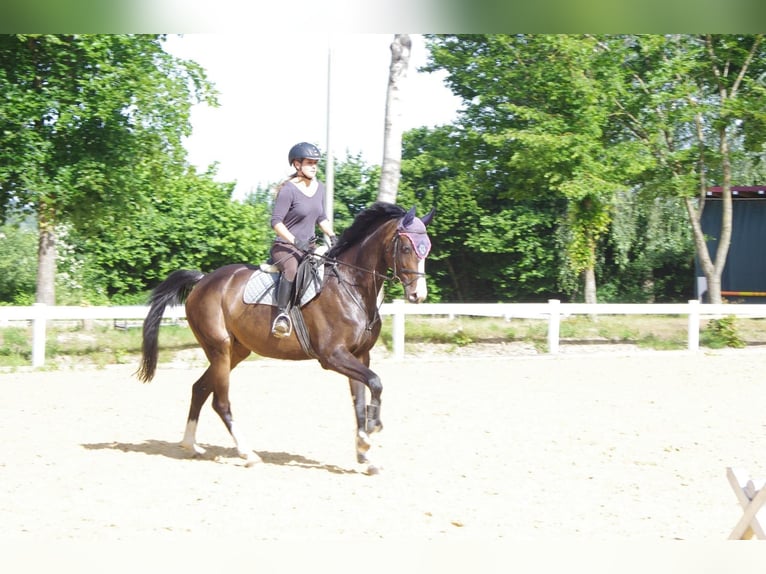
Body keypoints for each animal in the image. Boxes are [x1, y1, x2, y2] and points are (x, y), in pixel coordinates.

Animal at [139, 202, 436, 472]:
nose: (418, 295)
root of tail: (203, 281)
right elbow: (375, 383)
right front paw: (373, 429)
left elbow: (360, 400)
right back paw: (247, 453)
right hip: (219, 349)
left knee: (199, 388)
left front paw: (364, 453)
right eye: (406, 248)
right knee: (220, 402)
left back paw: (190, 445)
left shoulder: (360, 355)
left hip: (235, 352)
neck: (352, 286)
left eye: (427, 248)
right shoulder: (333, 356)